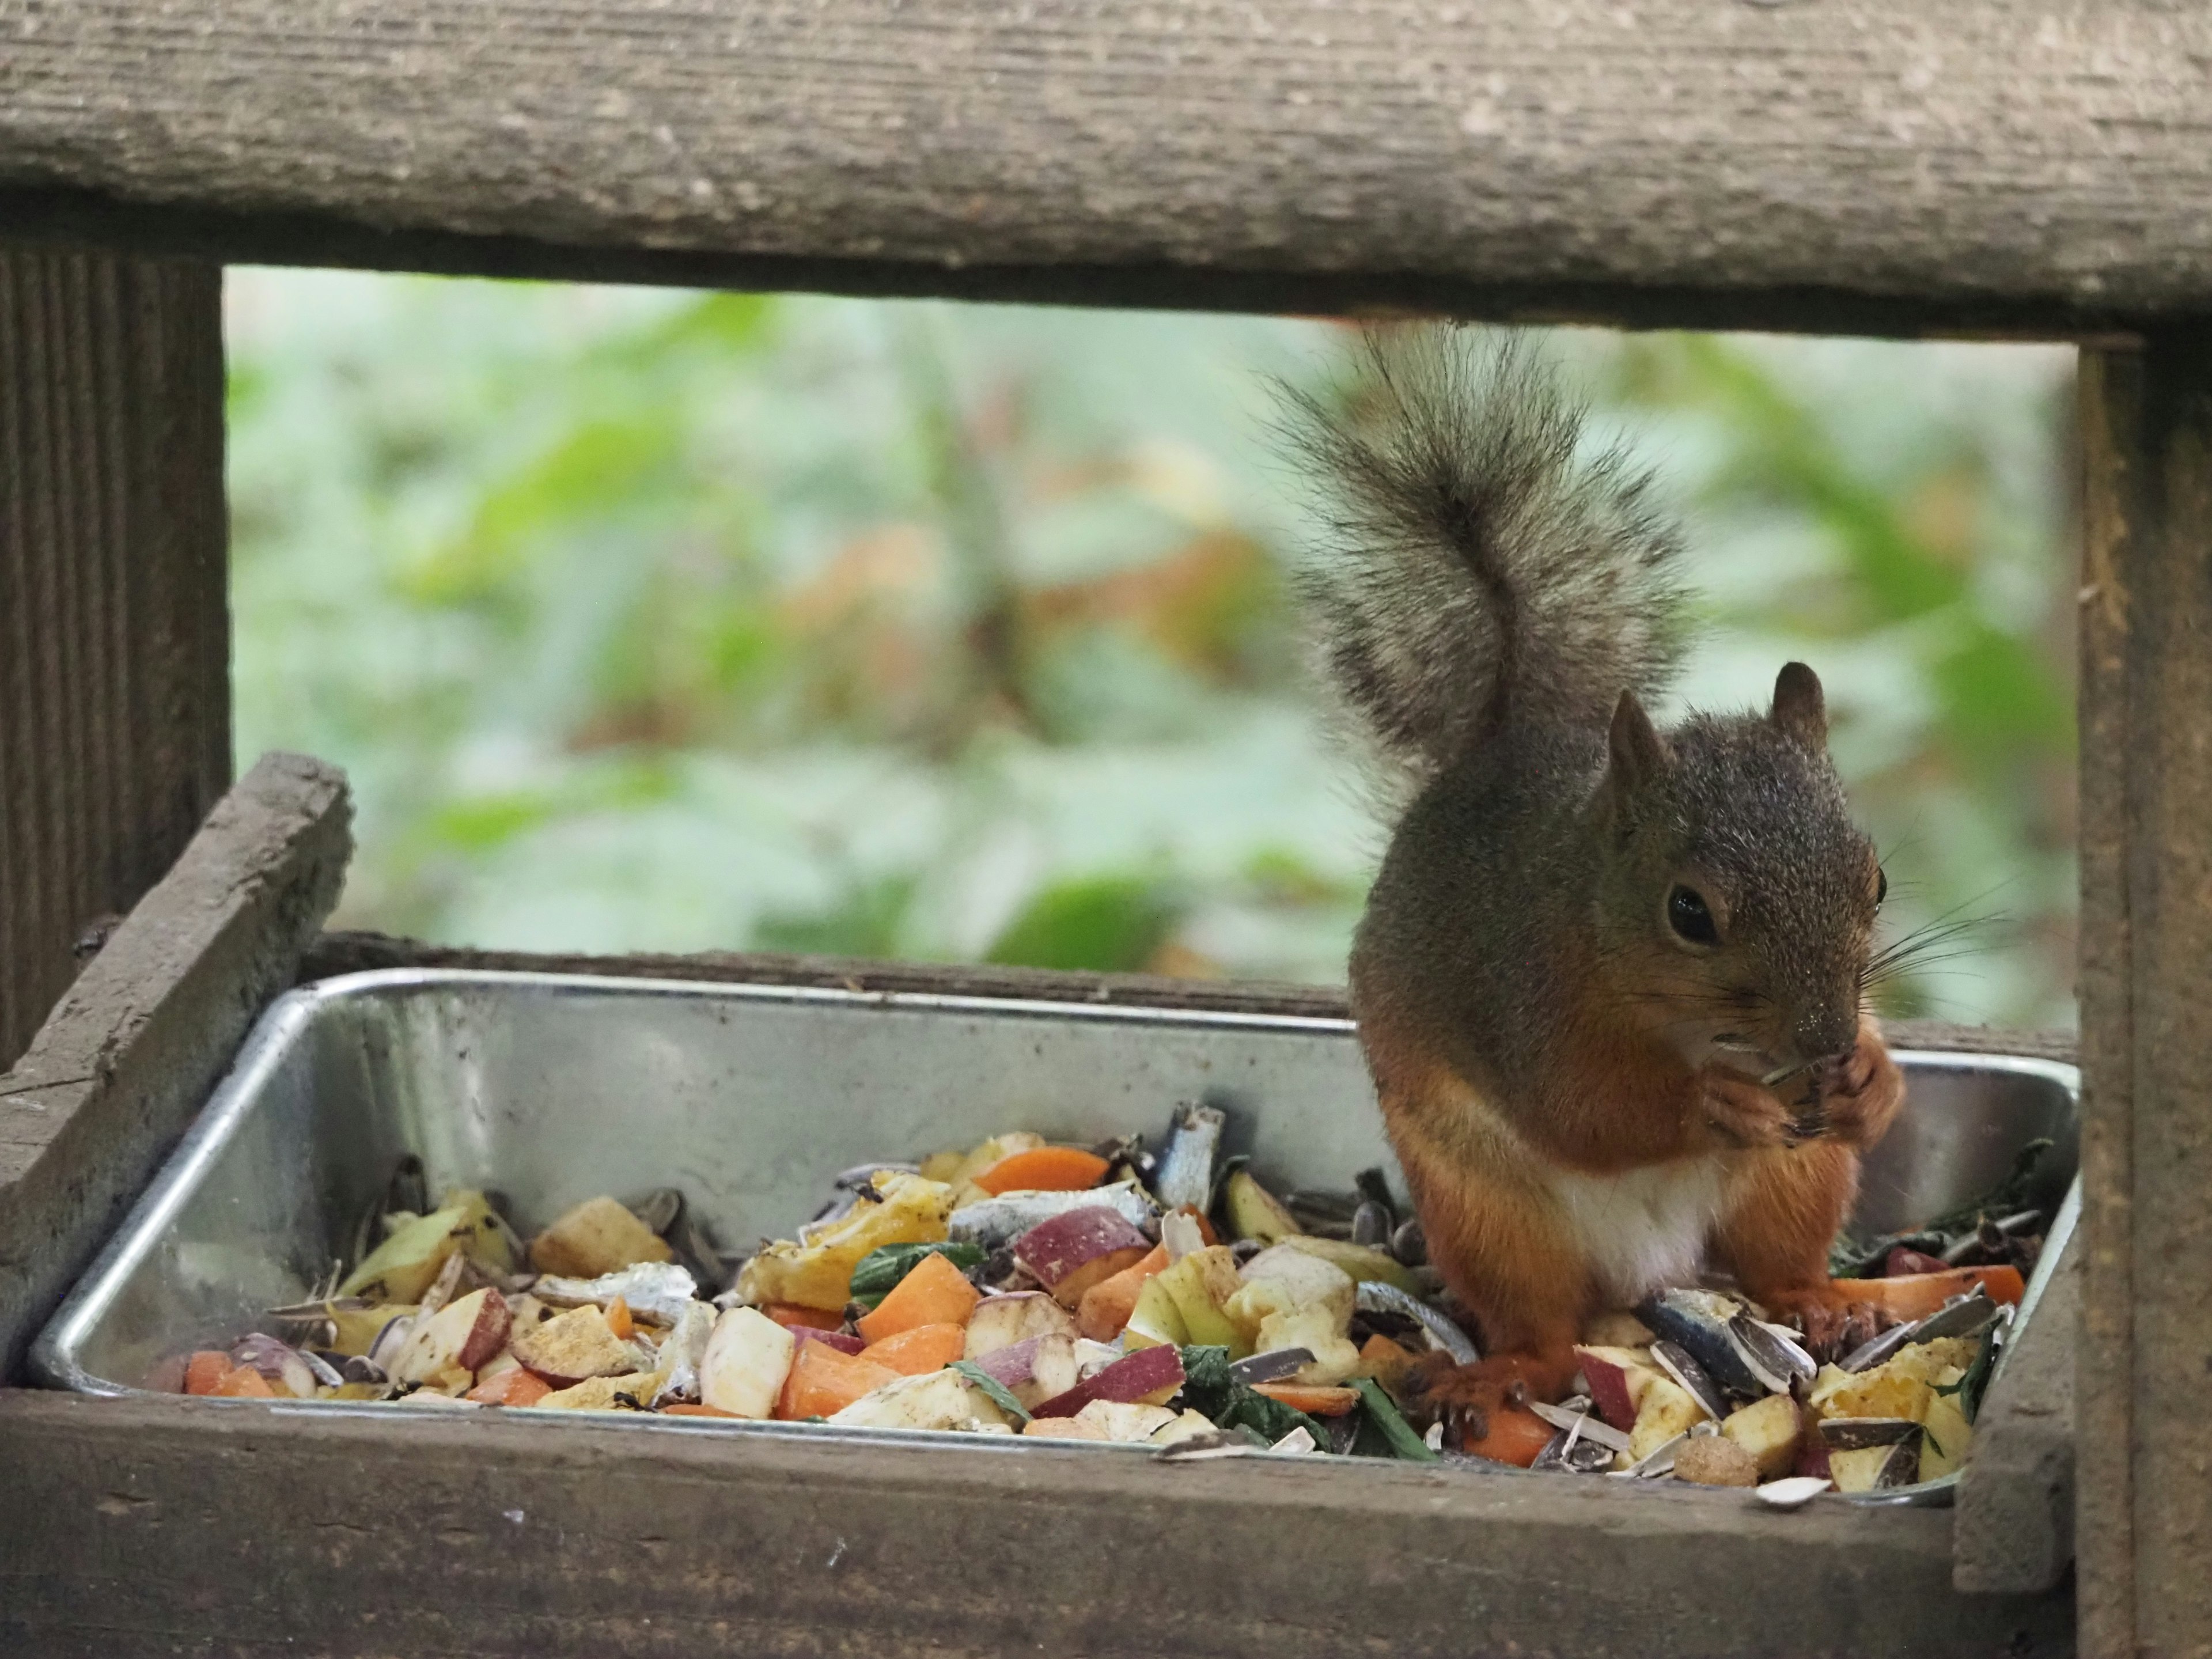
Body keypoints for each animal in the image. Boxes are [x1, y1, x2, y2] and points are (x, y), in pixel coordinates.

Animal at [1291, 327, 1911, 1442]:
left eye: (1876, 881)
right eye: (1689, 912)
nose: (1825, 1045)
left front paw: (1875, 1079)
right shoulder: (1524, 994)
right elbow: (1582, 1110)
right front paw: (1714, 1103)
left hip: (1796, 1179)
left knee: (1779, 1267)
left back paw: (1826, 1304)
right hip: (1492, 1215)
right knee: (1537, 1318)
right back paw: (1505, 1370)